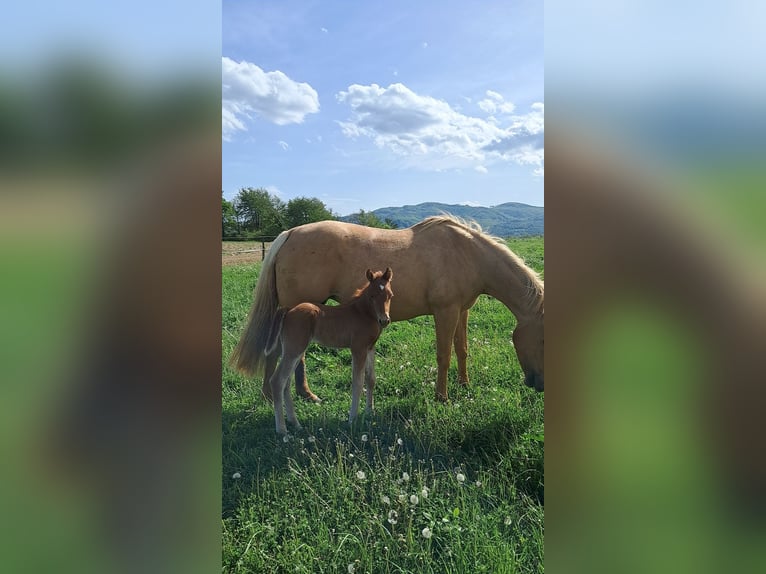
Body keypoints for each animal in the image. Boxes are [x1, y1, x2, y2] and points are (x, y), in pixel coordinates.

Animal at [231, 215, 544, 403]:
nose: (539, 385)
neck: (466, 253)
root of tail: (290, 233)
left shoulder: (461, 310)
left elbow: (462, 349)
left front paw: (465, 386)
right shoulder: (445, 311)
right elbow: (443, 355)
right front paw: (442, 397)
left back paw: (297, 395)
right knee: (282, 352)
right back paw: (284, 395)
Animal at [264, 268, 394, 434]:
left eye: (390, 295)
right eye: (372, 296)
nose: (384, 320)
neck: (362, 313)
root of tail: (288, 309)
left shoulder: (370, 348)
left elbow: (371, 379)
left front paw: (370, 412)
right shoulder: (358, 349)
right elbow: (357, 383)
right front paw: (352, 419)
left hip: (294, 350)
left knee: (286, 383)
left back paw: (295, 423)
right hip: (294, 349)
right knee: (277, 381)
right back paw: (282, 430)